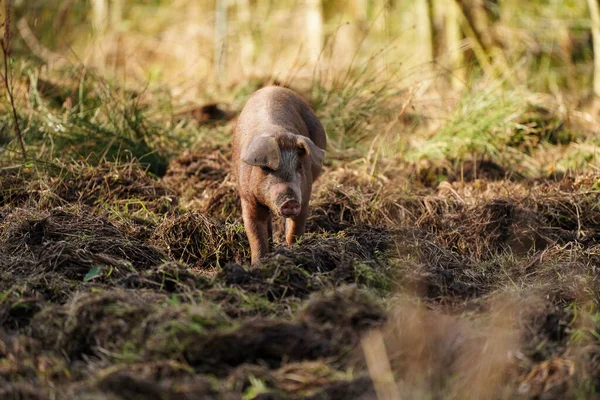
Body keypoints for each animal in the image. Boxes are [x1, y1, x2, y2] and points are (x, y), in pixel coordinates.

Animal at [232, 86, 326, 264]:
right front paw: (258, 263)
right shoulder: (247, 199)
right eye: (266, 168)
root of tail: (272, 87)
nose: (290, 200)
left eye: (299, 166)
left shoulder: (304, 196)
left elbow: (295, 229)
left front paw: (294, 252)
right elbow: (256, 235)